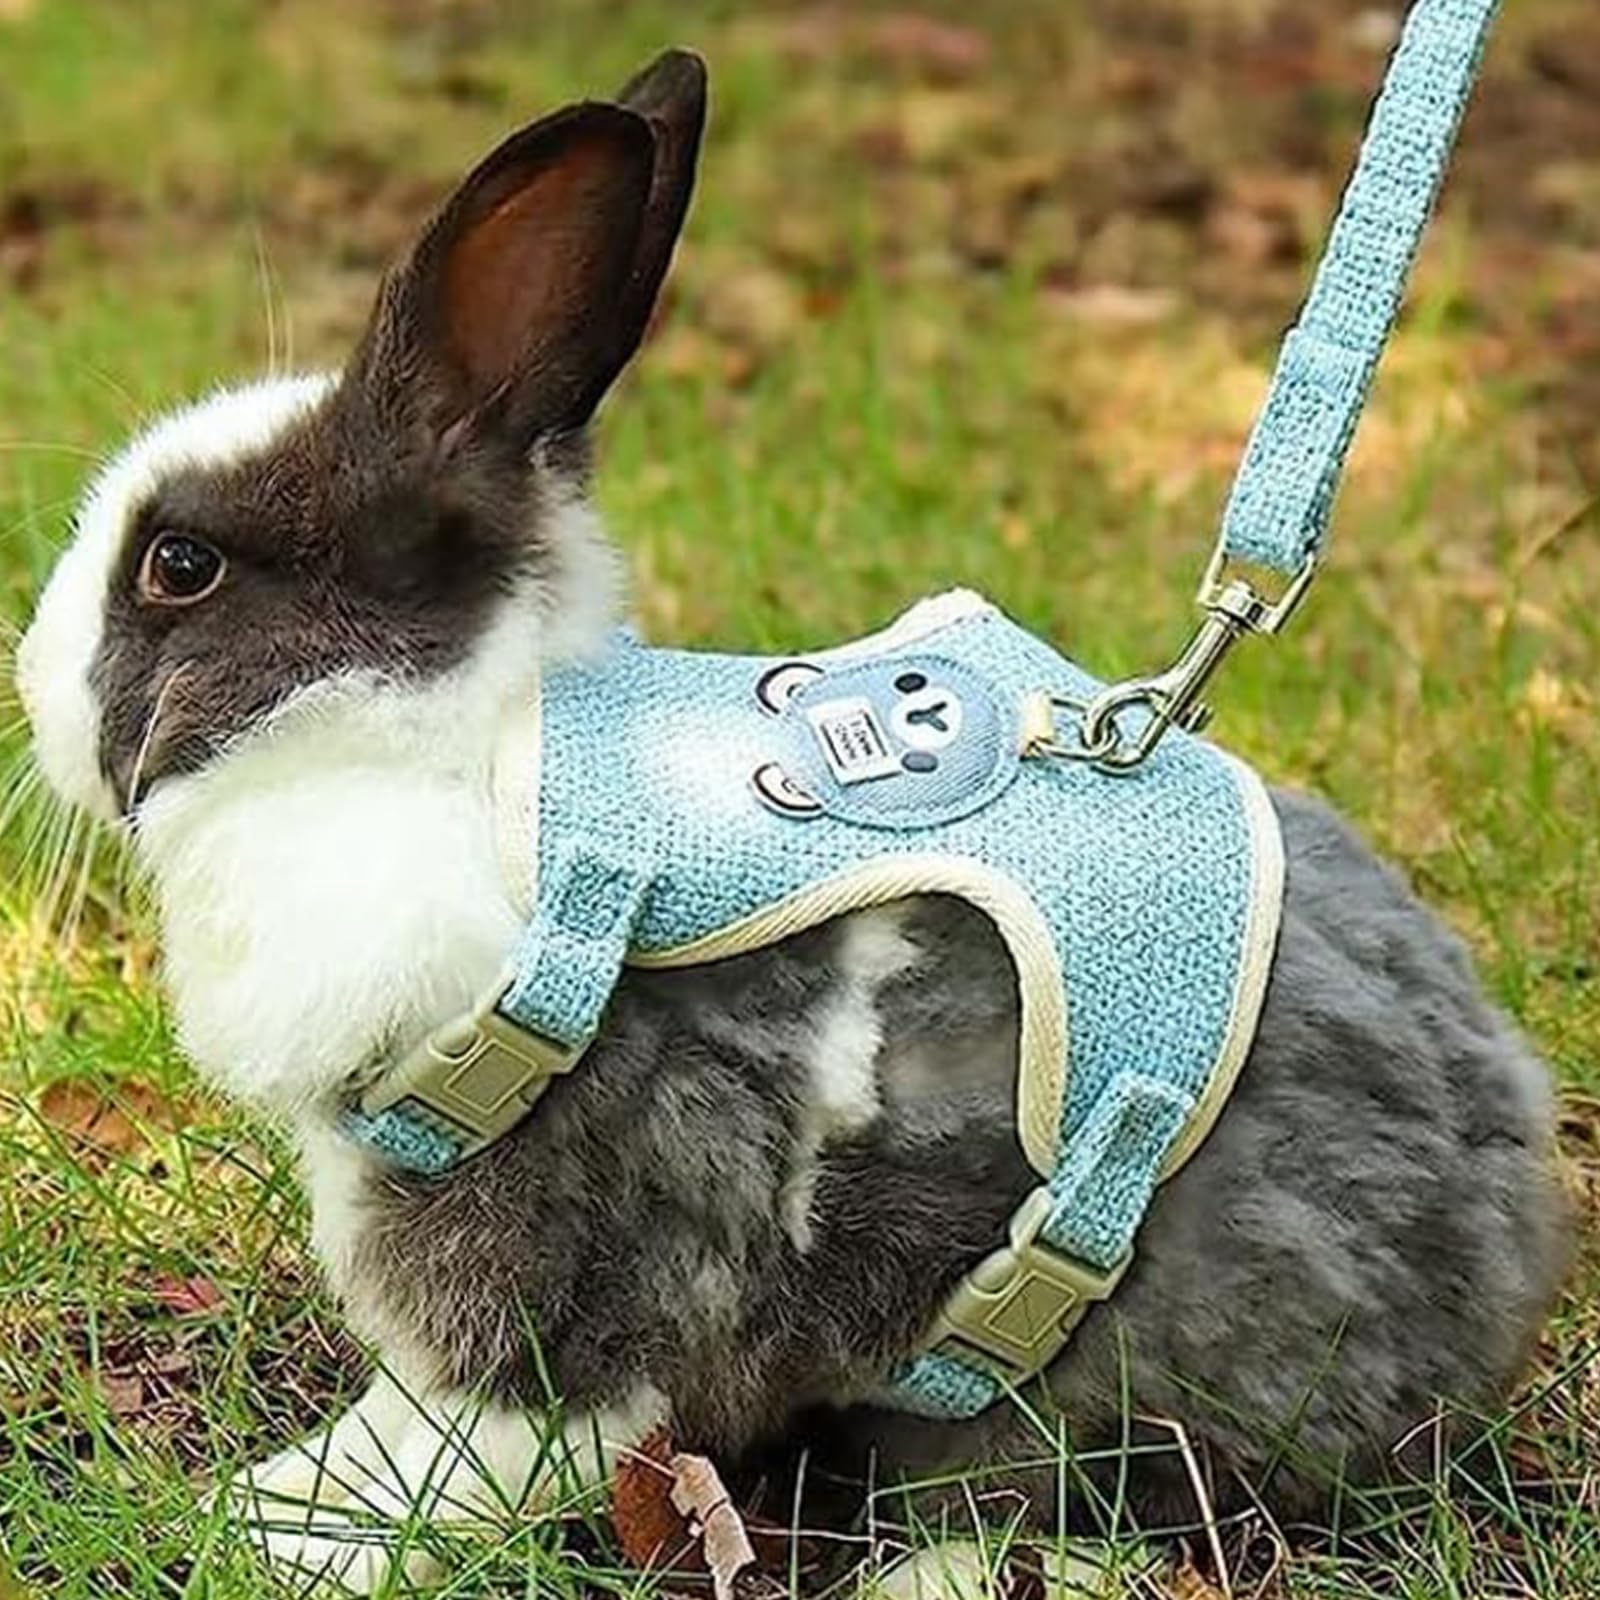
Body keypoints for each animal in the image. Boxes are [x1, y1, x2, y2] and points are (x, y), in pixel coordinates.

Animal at [15, 48, 1569, 1596]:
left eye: (179, 565)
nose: (27, 682)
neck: (458, 748)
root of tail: (1508, 1244)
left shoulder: (570, 1211)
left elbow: (497, 1423)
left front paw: (298, 1530)